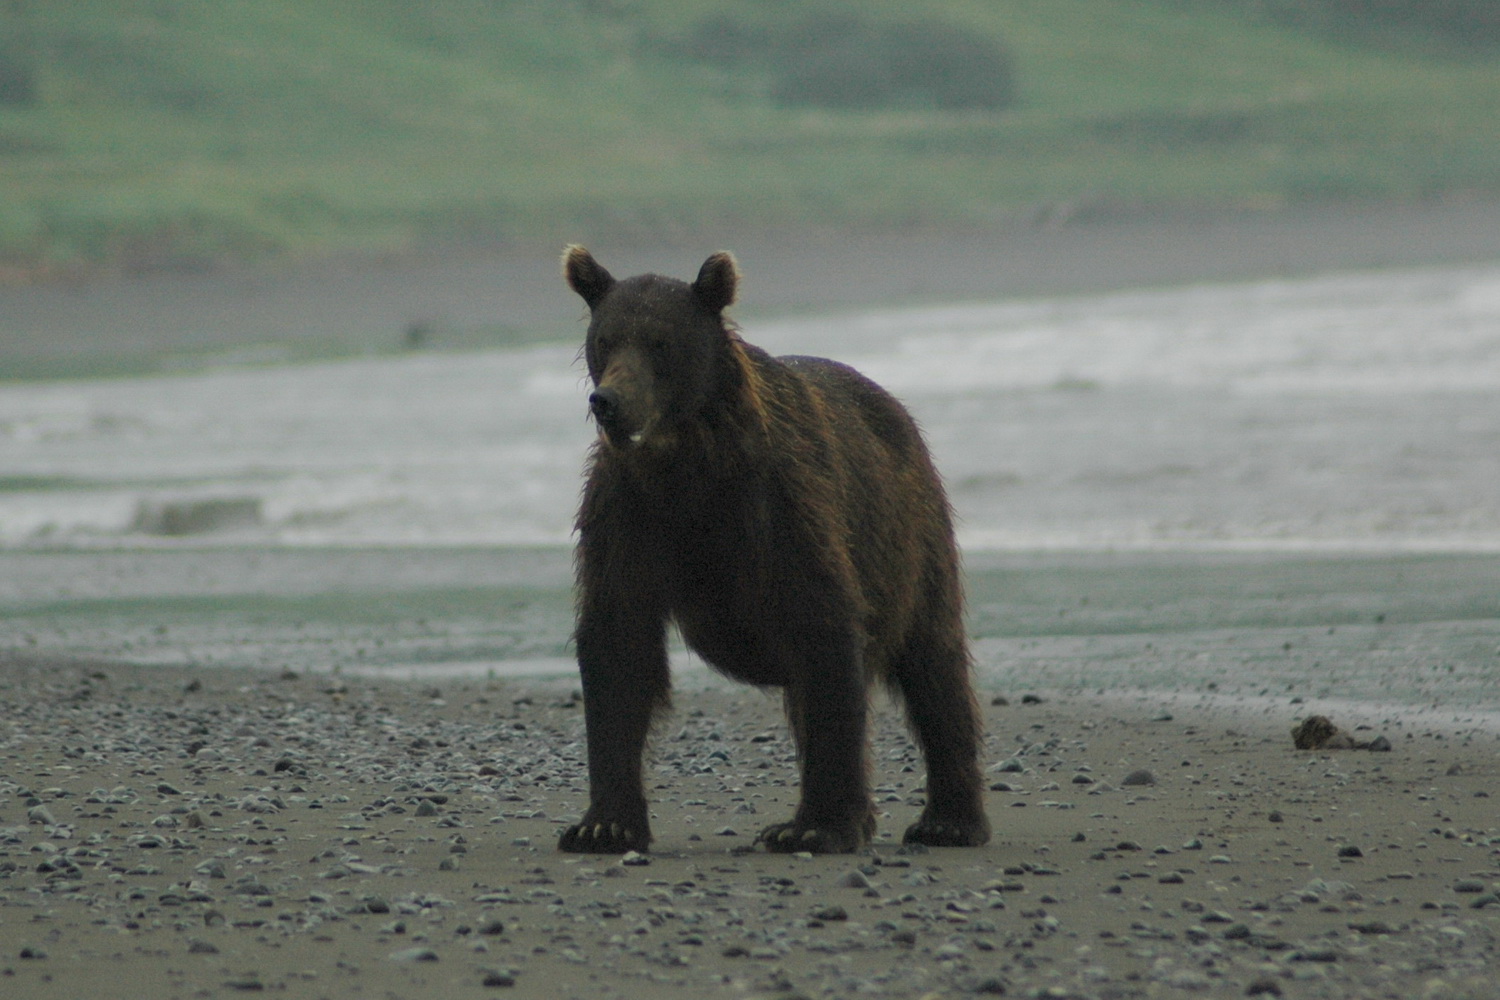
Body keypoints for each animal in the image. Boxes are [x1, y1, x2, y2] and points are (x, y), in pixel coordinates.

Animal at [557, 245, 990, 855]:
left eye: (660, 342)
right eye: (605, 339)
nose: (610, 402)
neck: (687, 468)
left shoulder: (779, 507)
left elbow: (824, 627)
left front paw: (816, 825)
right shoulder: (630, 515)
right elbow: (618, 644)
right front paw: (603, 825)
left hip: (909, 533)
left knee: (933, 661)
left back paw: (949, 820)